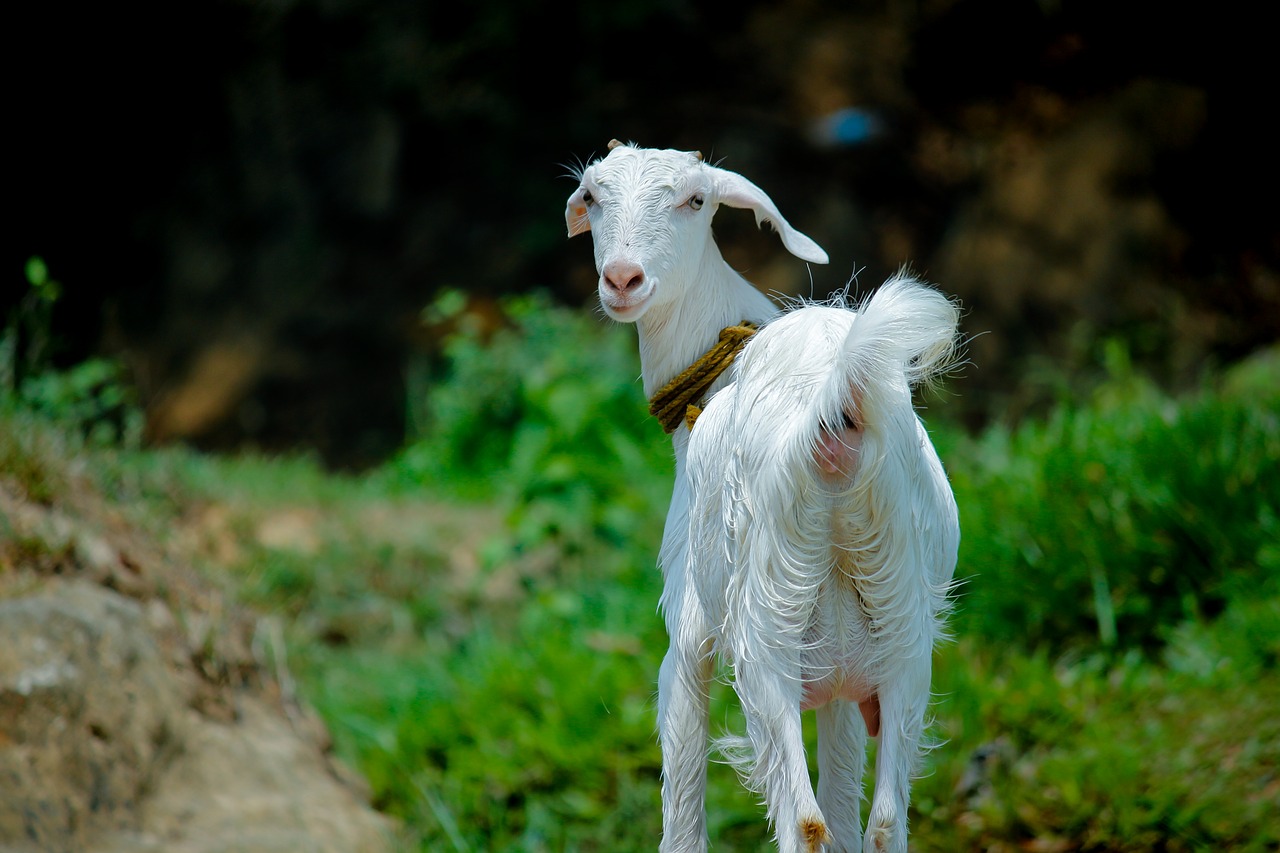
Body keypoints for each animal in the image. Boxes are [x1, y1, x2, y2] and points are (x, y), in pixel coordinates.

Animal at [565, 140, 962, 850]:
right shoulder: (843, 685)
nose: (623, 279)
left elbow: (683, 803)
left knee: (802, 820)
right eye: (593, 195)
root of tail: (835, 414)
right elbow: (846, 806)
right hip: (901, 633)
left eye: (696, 199)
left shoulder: (687, 629)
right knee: (883, 821)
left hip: (765, 627)